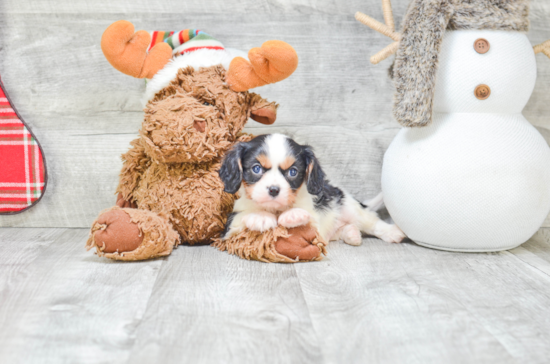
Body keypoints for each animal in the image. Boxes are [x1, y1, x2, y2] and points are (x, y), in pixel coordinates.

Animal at [219, 135, 406, 246]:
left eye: (293, 172)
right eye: (256, 169)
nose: (273, 190)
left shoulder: (315, 224)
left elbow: (306, 218)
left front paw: (293, 214)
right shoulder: (229, 230)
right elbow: (242, 217)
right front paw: (260, 216)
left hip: (350, 207)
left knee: (372, 223)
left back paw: (392, 232)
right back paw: (351, 233)